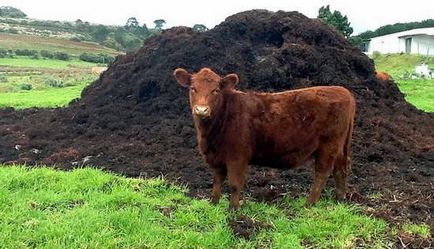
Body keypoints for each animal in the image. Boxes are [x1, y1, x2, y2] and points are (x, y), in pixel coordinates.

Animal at [173, 67, 356, 209]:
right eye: (193, 88)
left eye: (215, 90)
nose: (201, 110)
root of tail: (343, 91)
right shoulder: (217, 157)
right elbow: (217, 181)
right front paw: (214, 203)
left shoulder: (237, 156)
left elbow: (234, 184)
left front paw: (233, 210)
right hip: (338, 148)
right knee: (340, 169)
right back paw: (339, 200)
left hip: (328, 145)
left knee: (322, 173)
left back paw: (309, 204)